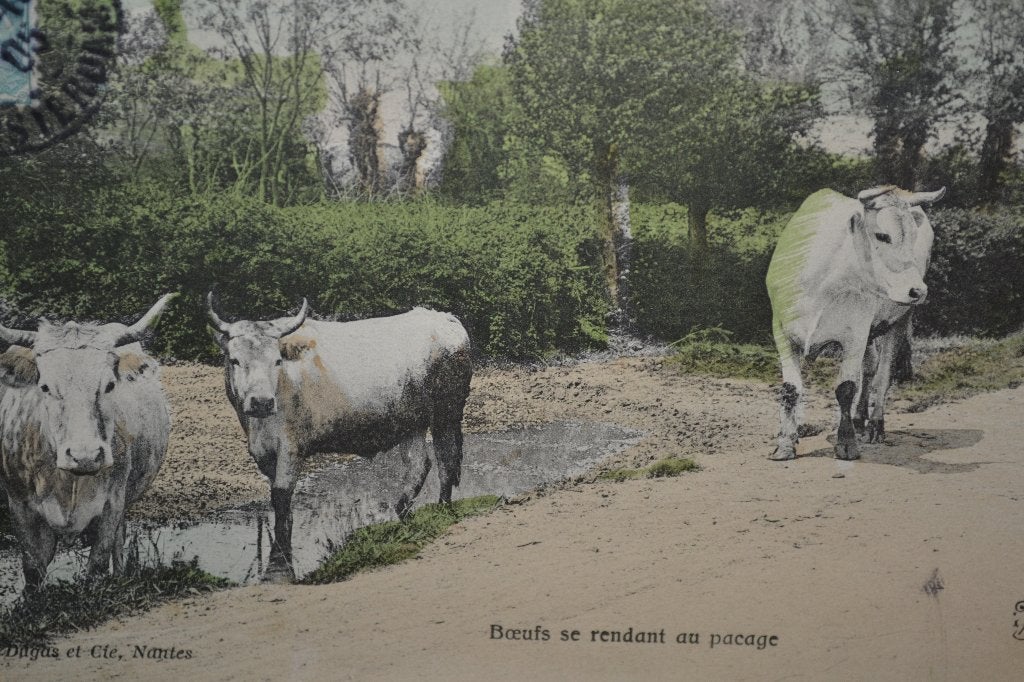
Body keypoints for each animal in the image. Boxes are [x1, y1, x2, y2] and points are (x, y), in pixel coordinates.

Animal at [0, 294, 176, 588]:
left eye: (109, 385)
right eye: (45, 387)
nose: (85, 456)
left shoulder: (111, 505)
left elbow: (98, 563)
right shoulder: (21, 508)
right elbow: (33, 570)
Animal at [206, 294, 473, 579]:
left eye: (277, 361)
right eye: (235, 360)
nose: (262, 402)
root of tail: (445, 319)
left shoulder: (291, 448)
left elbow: (281, 495)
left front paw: (281, 549)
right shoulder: (264, 453)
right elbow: (279, 500)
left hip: (446, 413)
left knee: (446, 459)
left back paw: (442, 507)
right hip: (412, 423)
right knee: (418, 465)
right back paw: (402, 508)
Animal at [765, 185, 945, 461]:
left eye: (913, 236)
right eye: (882, 235)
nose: (918, 290)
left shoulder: (855, 335)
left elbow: (846, 388)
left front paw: (846, 443)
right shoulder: (782, 332)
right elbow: (790, 389)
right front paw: (785, 443)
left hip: (898, 320)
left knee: (883, 375)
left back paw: (875, 426)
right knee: (869, 369)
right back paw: (860, 418)